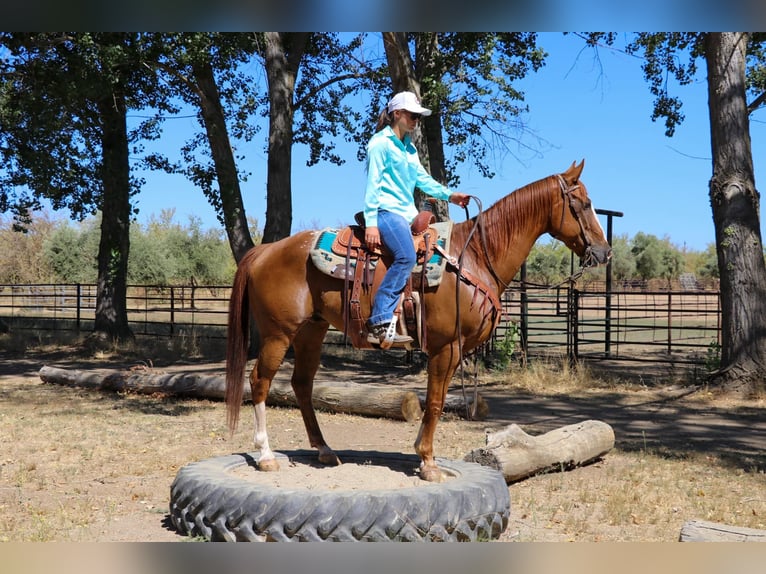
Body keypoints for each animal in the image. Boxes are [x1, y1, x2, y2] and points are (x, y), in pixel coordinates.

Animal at [225, 160, 611, 482]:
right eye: (583, 203)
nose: (604, 252)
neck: (472, 257)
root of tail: (265, 250)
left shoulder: (450, 350)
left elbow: (433, 400)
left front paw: (423, 456)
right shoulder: (446, 347)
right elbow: (436, 402)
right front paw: (427, 462)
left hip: (311, 331)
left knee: (302, 385)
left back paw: (324, 449)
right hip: (278, 334)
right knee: (259, 382)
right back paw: (266, 455)